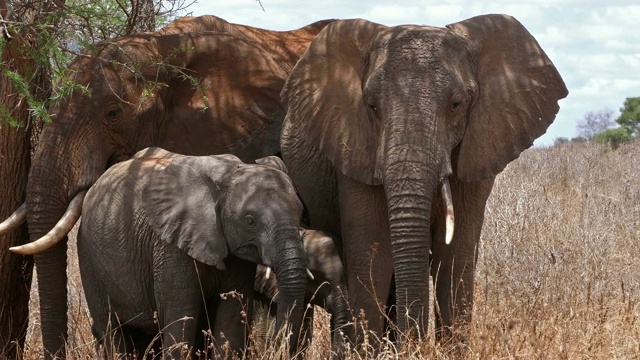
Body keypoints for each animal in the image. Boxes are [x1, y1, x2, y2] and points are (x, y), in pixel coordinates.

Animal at [77, 148, 308, 358]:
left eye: (300, 214)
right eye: (250, 221)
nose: (277, 343)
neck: (228, 172)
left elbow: (232, 320)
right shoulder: (171, 248)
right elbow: (181, 320)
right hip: (89, 258)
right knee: (111, 330)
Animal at [280, 14, 568, 346]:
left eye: (456, 104)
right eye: (371, 106)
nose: (415, 343)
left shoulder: (478, 148)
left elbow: (454, 258)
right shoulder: (353, 149)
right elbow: (373, 256)